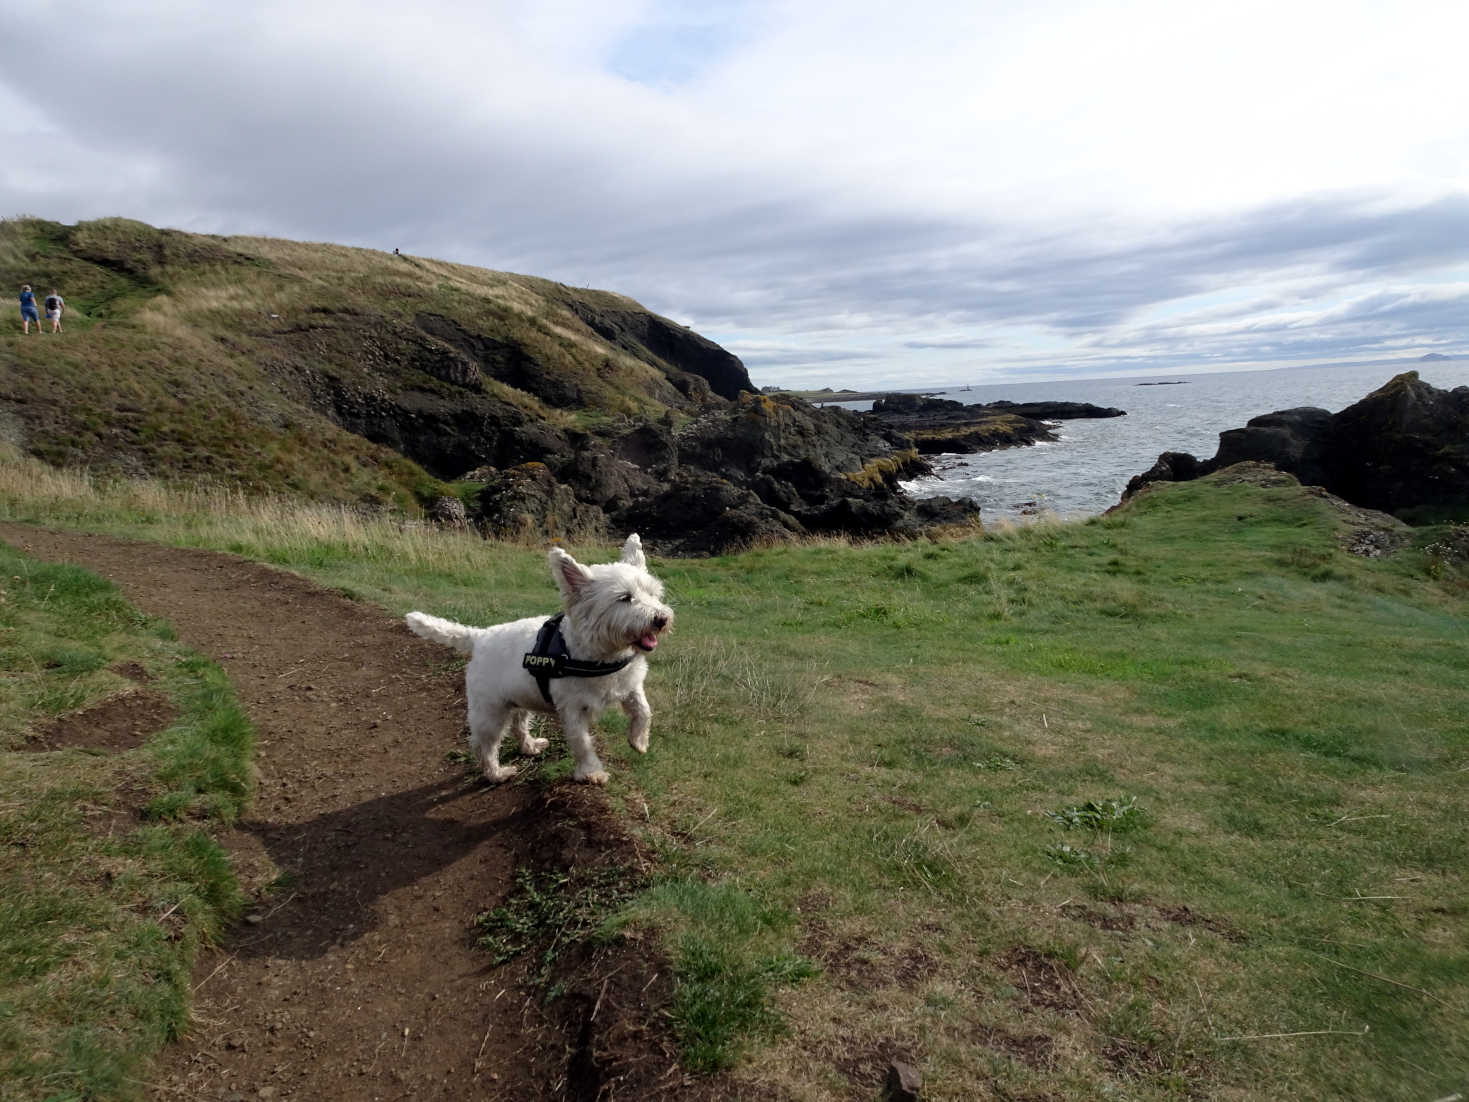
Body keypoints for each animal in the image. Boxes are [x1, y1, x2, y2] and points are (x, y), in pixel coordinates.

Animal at [405, 534, 672, 787]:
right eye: (625, 598)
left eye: (653, 593)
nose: (661, 619)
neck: (601, 656)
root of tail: (479, 636)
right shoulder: (572, 708)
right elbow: (582, 742)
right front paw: (591, 773)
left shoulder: (630, 686)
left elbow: (644, 710)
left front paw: (639, 741)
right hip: (490, 710)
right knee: (484, 744)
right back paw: (496, 773)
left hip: (519, 698)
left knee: (519, 725)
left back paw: (530, 746)